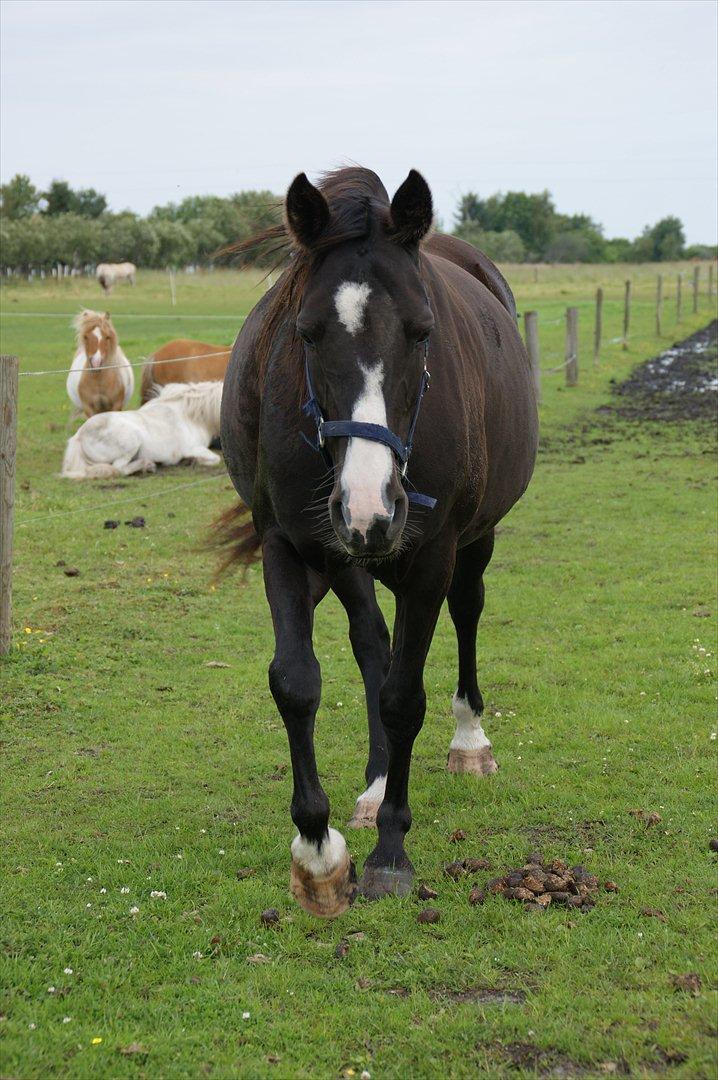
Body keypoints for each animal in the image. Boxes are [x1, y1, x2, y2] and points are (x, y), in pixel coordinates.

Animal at [218, 164, 537, 915]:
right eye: (306, 333)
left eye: (422, 333)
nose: (371, 505)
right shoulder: (289, 544)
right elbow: (297, 682)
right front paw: (318, 851)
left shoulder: (432, 557)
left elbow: (404, 698)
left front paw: (391, 851)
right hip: (347, 557)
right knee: (373, 644)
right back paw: (373, 784)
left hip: (469, 542)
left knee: (466, 613)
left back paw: (469, 740)